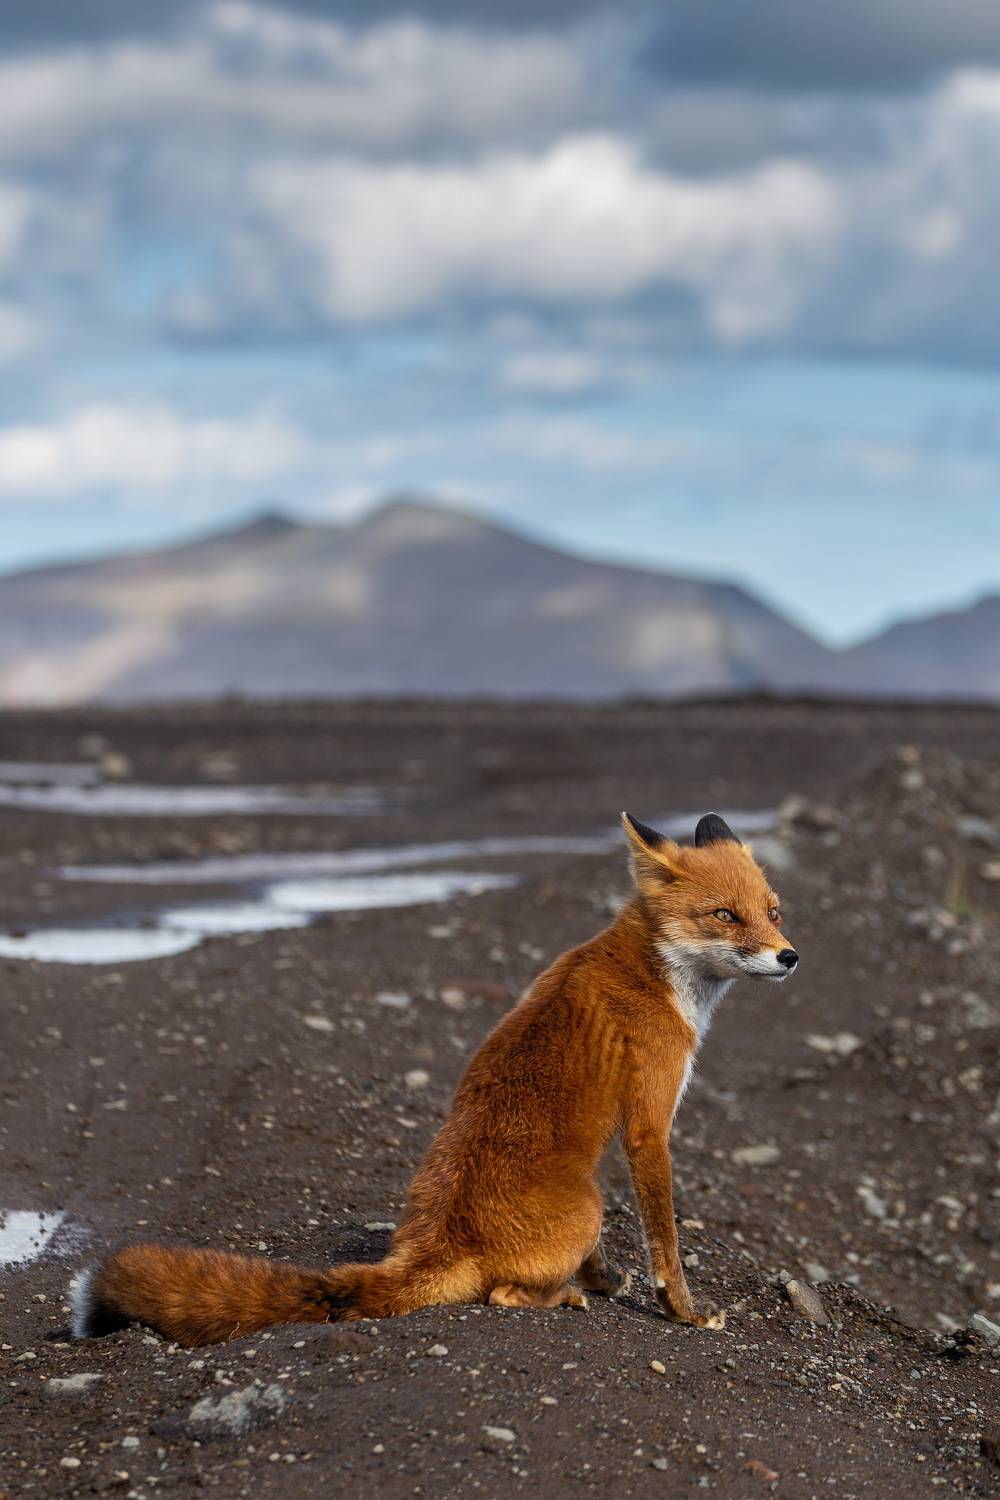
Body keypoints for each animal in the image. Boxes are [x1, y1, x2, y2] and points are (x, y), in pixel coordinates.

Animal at [69, 811, 797, 1347]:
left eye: (773, 911)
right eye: (724, 916)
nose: (789, 957)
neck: (653, 971)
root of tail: (443, 1238)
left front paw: (607, 1277)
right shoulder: (648, 1126)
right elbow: (665, 1243)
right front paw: (683, 1312)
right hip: (587, 1202)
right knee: (502, 1294)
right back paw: (560, 1296)